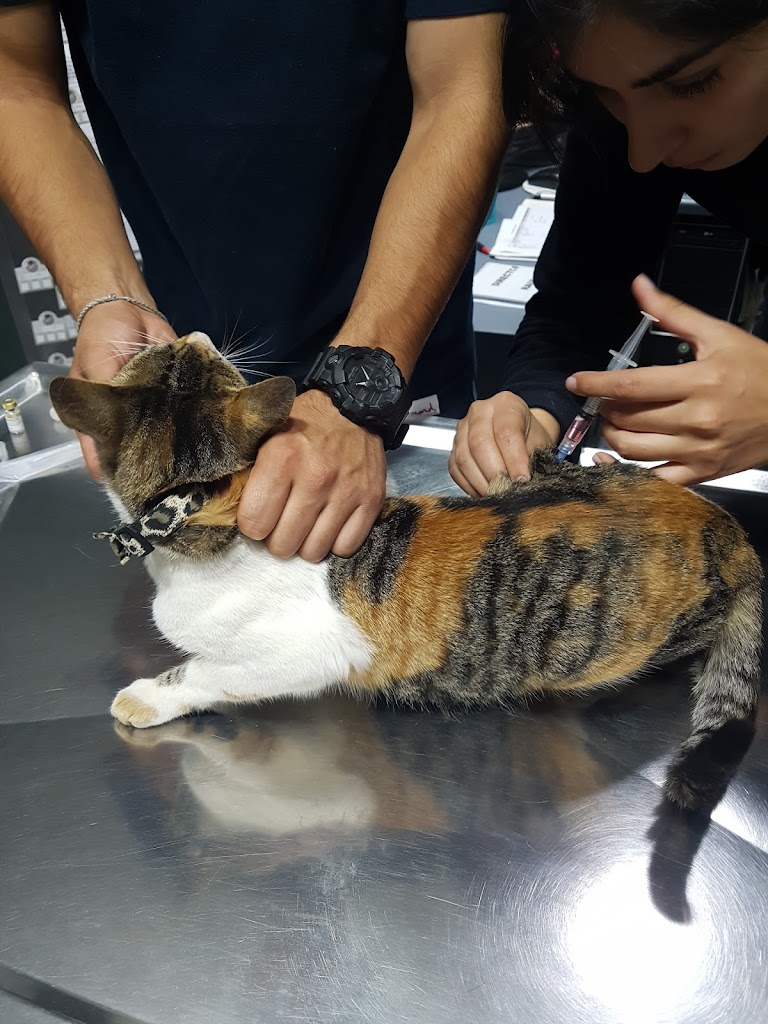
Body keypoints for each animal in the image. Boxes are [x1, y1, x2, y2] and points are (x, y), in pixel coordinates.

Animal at [49, 331, 763, 812]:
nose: (192, 333)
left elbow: (205, 671)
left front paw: (148, 696)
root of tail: (728, 532)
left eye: (199, 355)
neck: (200, 525)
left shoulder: (308, 653)